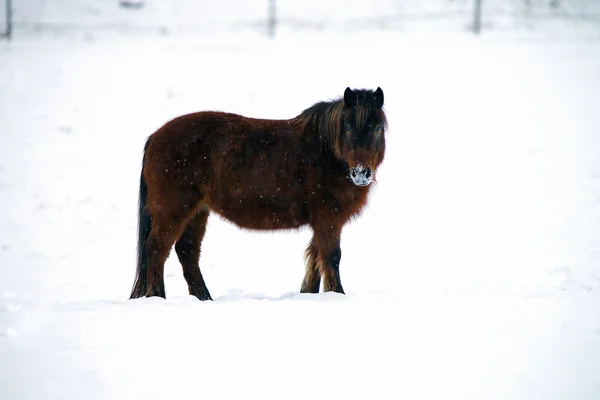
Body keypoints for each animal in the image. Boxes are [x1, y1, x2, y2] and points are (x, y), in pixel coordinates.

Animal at [129, 86, 386, 300]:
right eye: (348, 126)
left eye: (377, 127)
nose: (361, 173)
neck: (326, 152)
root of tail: (154, 138)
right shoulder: (328, 217)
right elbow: (331, 257)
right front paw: (337, 295)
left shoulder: (322, 221)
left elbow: (315, 257)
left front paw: (310, 294)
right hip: (173, 210)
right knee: (156, 249)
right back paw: (157, 297)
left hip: (197, 212)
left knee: (187, 251)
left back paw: (203, 298)